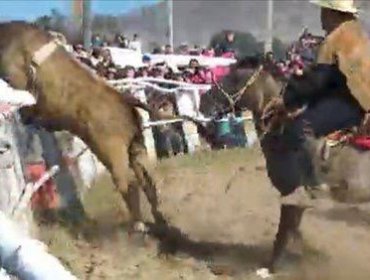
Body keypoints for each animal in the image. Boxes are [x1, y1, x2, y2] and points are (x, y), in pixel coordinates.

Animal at [0, 21, 165, 232]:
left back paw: (139, 225)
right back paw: (159, 220)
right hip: (136, 148)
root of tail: (126, 101)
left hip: (112, 151)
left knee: (128, 183)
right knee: (146, 181)